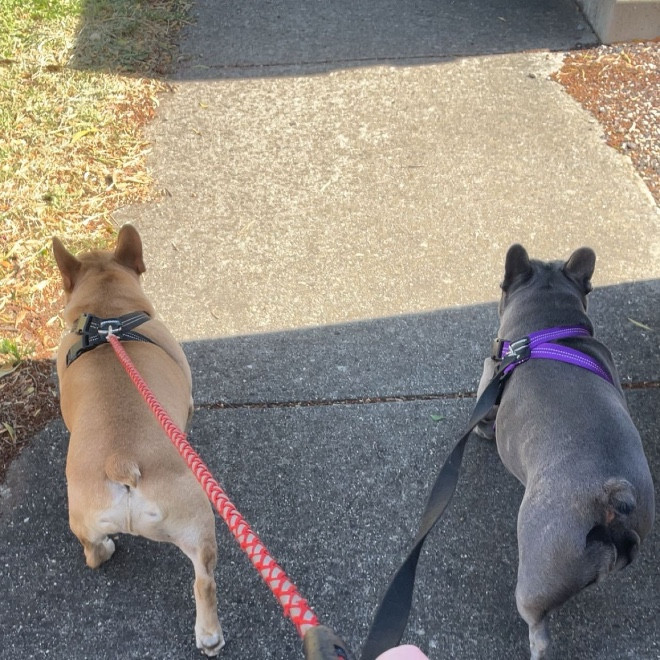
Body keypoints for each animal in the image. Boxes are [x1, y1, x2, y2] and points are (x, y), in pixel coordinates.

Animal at [53, 224, 224, 656]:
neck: (108, 313)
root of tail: (122, 462)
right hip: (197, 519)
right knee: (203, 581)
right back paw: (210, 635)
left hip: (83, 515)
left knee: (92, 552)